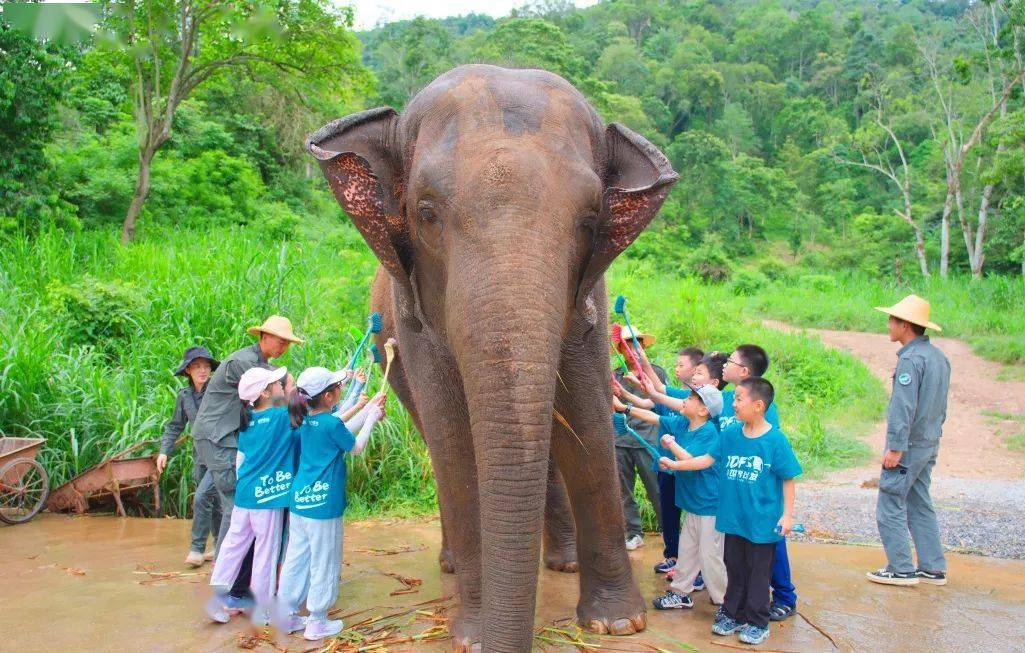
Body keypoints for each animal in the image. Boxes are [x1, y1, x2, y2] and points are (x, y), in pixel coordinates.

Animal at [307, 63, 676, 647]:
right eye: (426, 213)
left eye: (590, 219)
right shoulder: (415, 316)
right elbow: (455, 440)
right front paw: (474, 638)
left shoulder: (588, 299)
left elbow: (588, 420)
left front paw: (618, 623)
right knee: (436, 442)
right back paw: (453, 564)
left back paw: (562, 563)